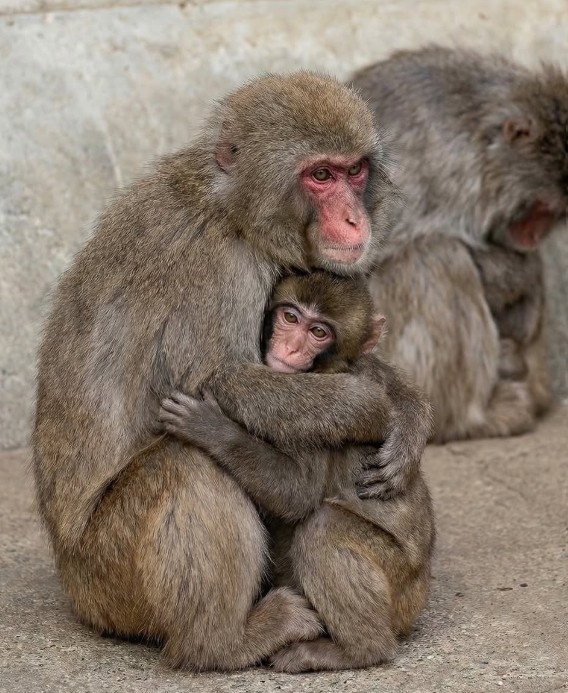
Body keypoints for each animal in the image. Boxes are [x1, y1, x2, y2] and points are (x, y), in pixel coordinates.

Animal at [159, 270, 435, 673]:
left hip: (399, 583)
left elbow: (297, 494)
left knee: (323, 530)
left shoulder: (322, 417)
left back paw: (356, 650)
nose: (289, 348)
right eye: (290, 317)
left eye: (319, 332)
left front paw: (213, 430)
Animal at [350, 46, 567, 442]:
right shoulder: (441, 169)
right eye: (541, 207)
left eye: (558, 212)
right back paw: (470, 419)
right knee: (435, 256)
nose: (535, 236)